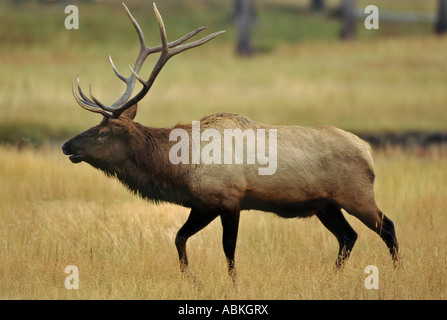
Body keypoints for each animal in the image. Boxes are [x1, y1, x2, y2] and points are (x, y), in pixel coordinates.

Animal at [62, 1, 400, 278]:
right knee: (348, 236)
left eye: (103, 132)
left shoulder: (229, 198)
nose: (67, 146)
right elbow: (179, 238)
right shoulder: (202, 204)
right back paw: (333, 277)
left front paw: (232, 283)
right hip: (326, 205)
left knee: (387, 227)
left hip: (356, 195)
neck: (180, 167)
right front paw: (190, 279)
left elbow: (228, 250)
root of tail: (368, 150)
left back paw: (396, 272)